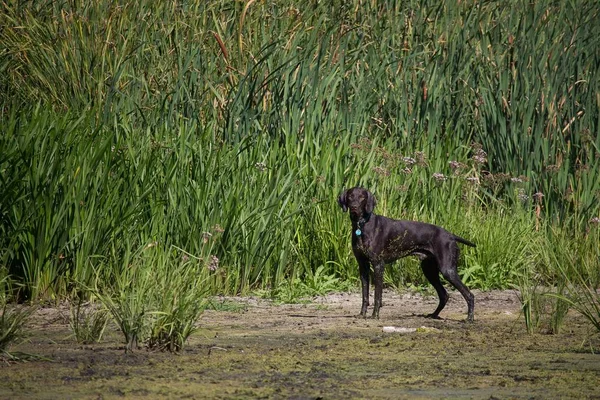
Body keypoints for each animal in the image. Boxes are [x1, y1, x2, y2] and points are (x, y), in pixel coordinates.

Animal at [338, 187, 474, 322]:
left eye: (362, 197)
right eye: (350, 196)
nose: (354, 207)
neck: (362, 225)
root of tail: (451, 236)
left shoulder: (378, 265)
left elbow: (377, 295)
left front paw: (375, 315)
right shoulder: (363, 267)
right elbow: (365, 295)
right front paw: (362, 314)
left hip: (447, 270)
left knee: (469, 294)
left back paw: (469, 318)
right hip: (429, 271)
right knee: (444, 295)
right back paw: (433, 315)